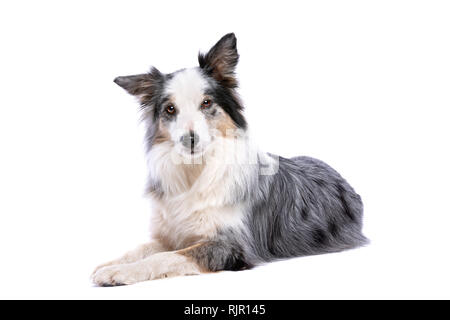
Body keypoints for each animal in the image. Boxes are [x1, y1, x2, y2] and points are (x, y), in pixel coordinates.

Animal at [90, 33, 366, 286]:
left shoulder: (231, 245)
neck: (195, 170)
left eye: (206, 103)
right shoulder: (171, 235)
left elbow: (166, 257)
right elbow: (141, 249)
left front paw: (119, 272)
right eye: (170, 109)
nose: (189, 140)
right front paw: (109, 264)